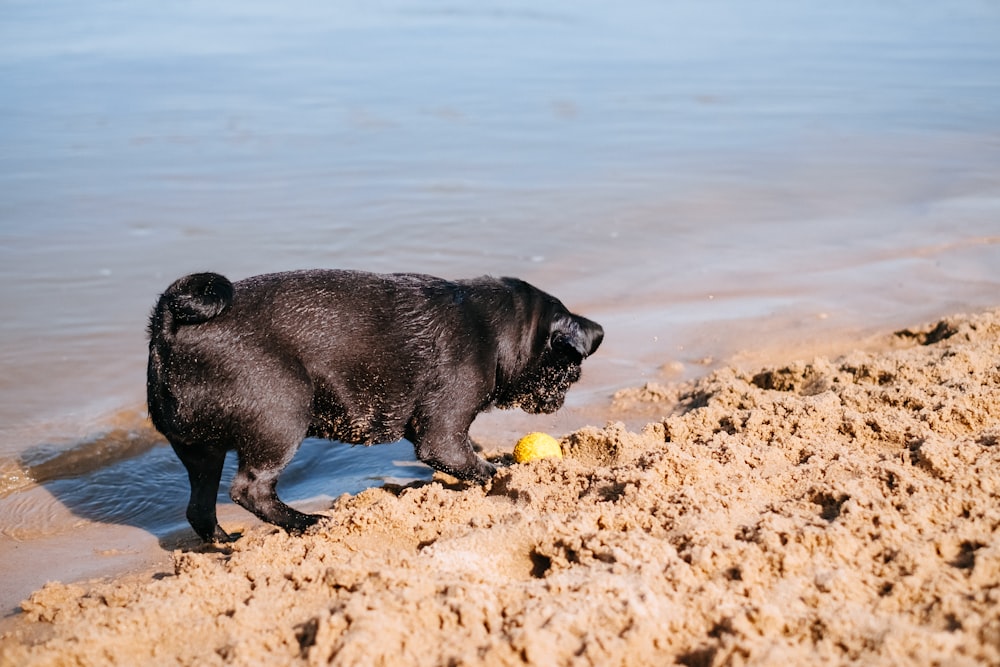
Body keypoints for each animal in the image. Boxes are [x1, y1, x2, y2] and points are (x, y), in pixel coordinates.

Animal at [147, 268, 600, 540]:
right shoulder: (443, 434)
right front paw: (502, 471)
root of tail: (168, 329)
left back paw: (224, 543)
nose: (561, 399)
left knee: (200, 506)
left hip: (200, 450)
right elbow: (470, 462)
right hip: (282, 414)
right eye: (569, 371)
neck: (493, 330)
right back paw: (306, 523)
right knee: (250, 489)